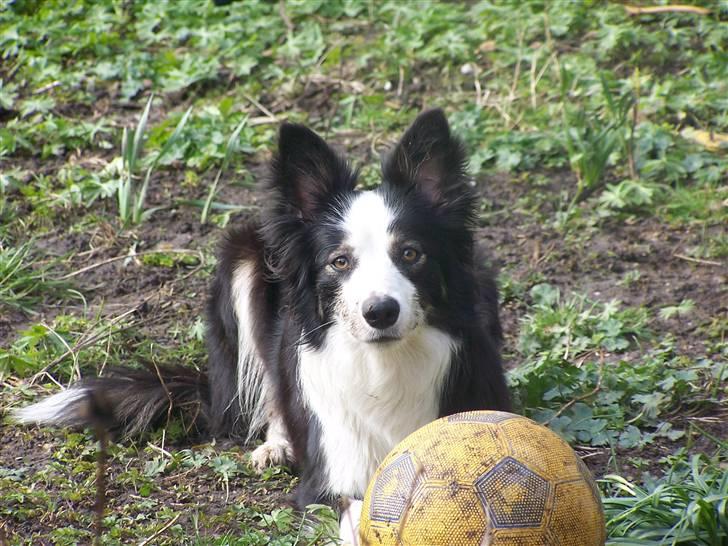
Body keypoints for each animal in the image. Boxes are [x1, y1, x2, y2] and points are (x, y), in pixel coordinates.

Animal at [12, 108, 512, 508]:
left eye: (410, 254)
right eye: (339, 261)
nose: (380, 312)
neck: (384, 366)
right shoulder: (335, 476)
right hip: (243, 259)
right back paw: (276, 445)